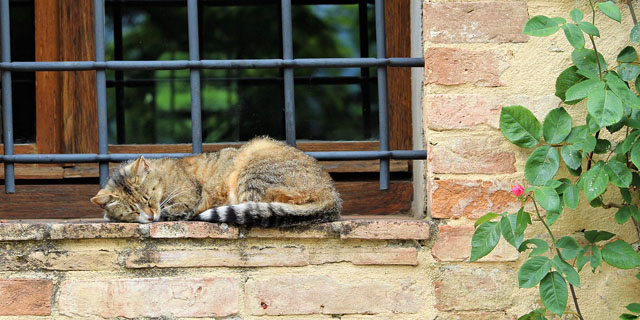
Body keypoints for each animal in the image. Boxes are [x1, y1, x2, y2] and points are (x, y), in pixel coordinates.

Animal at [89, 138, 342, 228]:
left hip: (253, 162)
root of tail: (332, 194)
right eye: (132, 209)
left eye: (148, 198)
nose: (150, 215)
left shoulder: (189, 198)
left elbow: (177, 210)